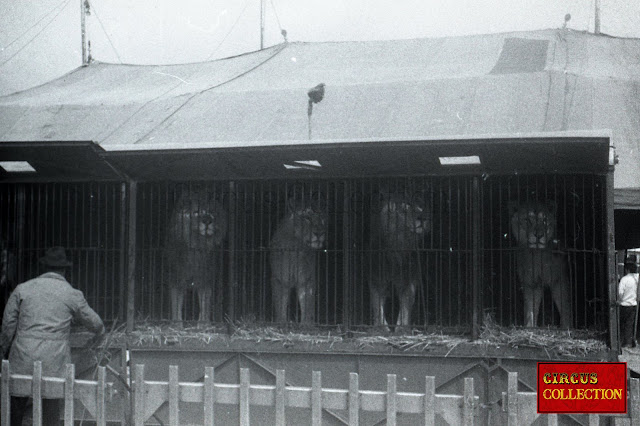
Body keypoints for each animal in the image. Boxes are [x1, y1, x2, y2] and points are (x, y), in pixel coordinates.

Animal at [165, 187, 228, 322]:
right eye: (195, 212)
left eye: (212, 212)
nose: (207, 220)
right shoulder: (176, 278)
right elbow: (176, 305)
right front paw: (176, 323)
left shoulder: (206, 279)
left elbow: (205, 304)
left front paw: (203, 324)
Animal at [370, 190, 430, 330]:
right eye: (406, 205)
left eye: (421, 206)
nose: (423, 218)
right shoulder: (376, 276)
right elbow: (377, 303)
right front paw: (381, 328)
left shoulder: (409, 277)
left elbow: (406, 303)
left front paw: (402, 327)